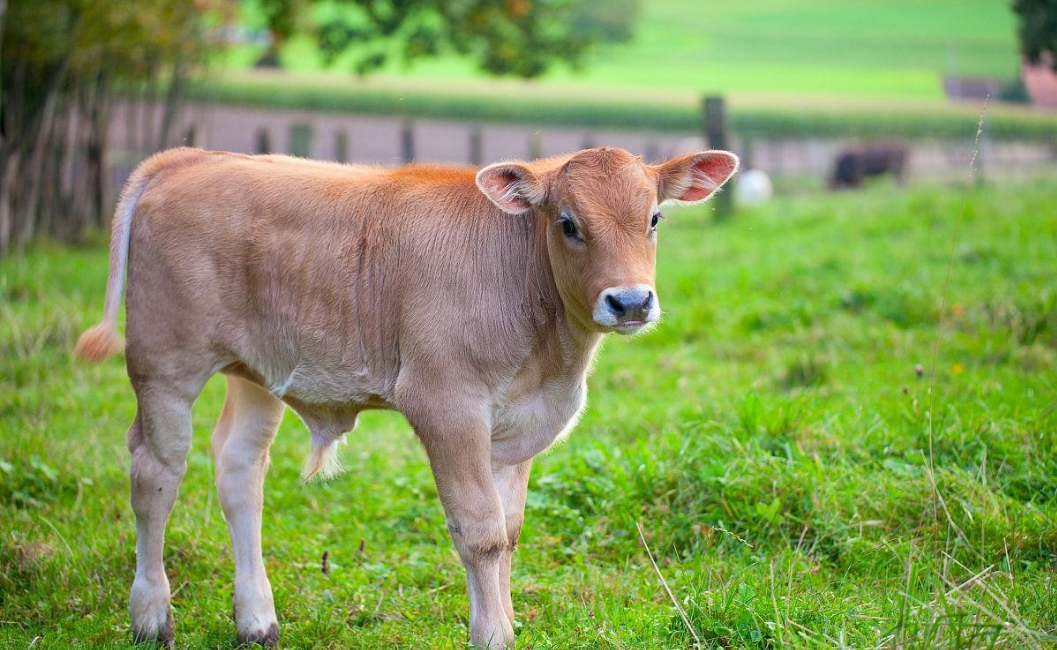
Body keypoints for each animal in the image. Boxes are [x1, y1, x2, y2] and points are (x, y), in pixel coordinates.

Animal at [76, 144, 735, 646]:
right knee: (155, 475)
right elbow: (480, 530)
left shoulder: (516, 428)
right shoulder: (447, 407)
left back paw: (257, 620)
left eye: (654, 219)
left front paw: (505, 620)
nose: (630, 302)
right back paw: (151, 616)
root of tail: (192, 158)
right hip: (165, 365)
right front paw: (492, 635)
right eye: (568, 222)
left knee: (239, 471)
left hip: (256, 372)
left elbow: (509, 529)